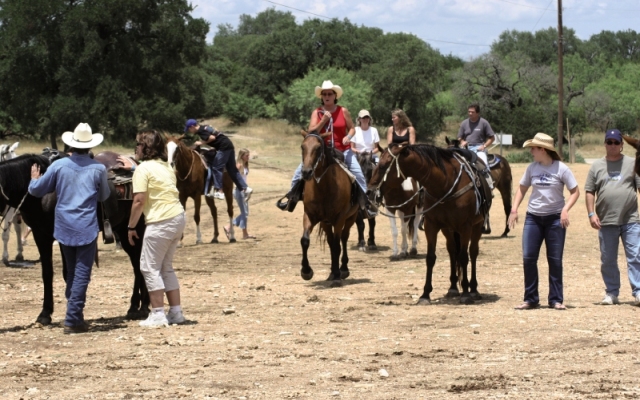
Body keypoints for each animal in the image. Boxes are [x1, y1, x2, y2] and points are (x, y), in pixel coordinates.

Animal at [0, 151, 149, 324]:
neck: (43, 194)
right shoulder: (40, 236)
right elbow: (47, 273)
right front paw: (45, 314)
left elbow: (68, 272)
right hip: (124, 233)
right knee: (136, 263)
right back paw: (135, 307)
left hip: (136, 229)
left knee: (140, 263)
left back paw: (143, 307)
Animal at [298, 130, 358, 284]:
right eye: (302, 147)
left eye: (318, 148)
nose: (306, 172)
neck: (324, 188)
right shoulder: (310, 215)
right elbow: (305, 240)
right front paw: (306, 271)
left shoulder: (339, 218)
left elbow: (337, 245)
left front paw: (337, 274)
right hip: (325, 223)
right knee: (331, 242)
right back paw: (331, 272)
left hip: (350, 218)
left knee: (343, 238)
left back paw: (342, 269)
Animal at [370, 144, 484, 304]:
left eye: (382, 166)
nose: (369, 191)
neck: (445, 184)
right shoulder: (431, 225)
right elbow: (430, 258)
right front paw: (425, 294)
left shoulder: (465, 227)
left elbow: (463, 257)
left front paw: (466, 294)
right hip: (448, 229)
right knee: (452, 251)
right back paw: (453, 288)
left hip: (476, 226)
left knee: (472, 253)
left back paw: (473, 289)